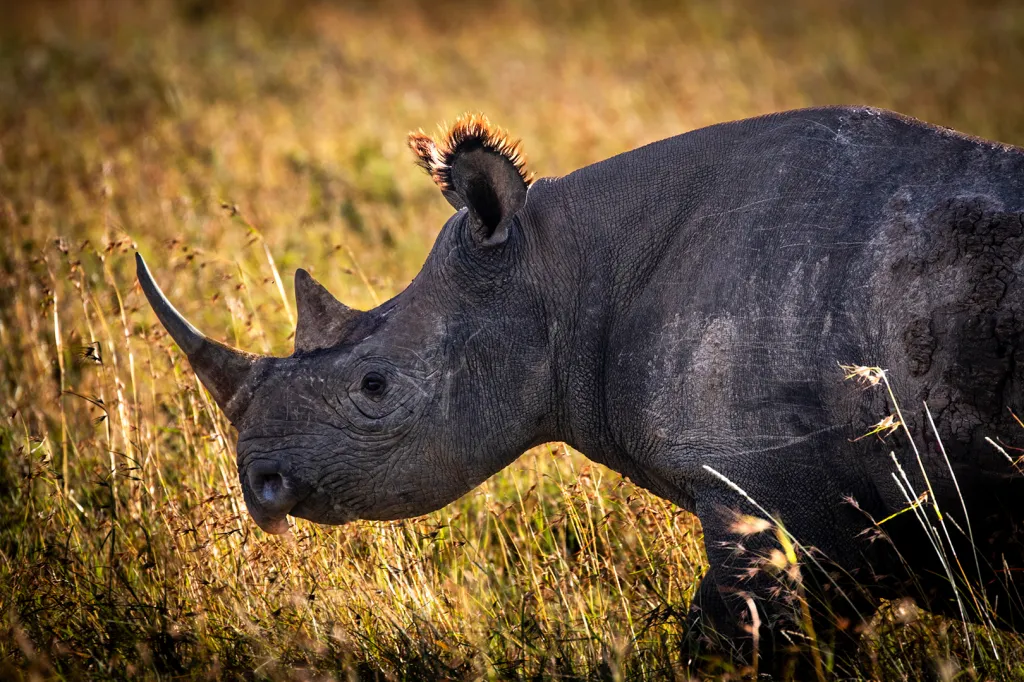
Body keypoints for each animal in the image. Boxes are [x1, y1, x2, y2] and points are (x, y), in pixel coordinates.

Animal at [137, 106, 1024, 671]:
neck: (561, 267)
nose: (260, 486)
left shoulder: (760, 490)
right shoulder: (829, 521)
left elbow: (740, 646)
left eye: (376, 387)